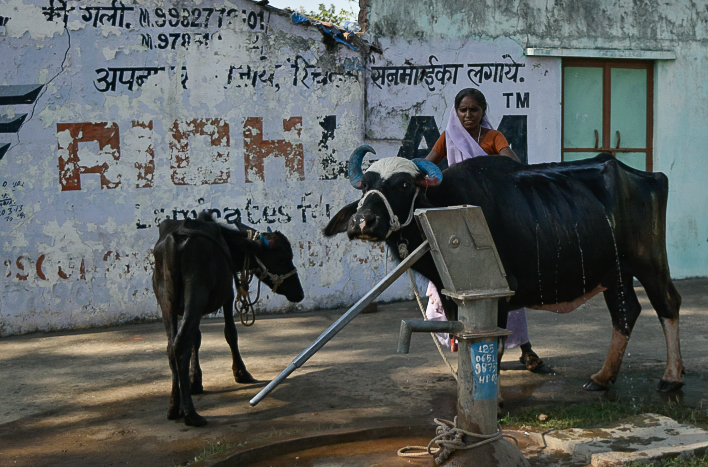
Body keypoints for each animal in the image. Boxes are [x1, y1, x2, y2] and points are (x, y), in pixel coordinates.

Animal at [152, 211, 304, 426]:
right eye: (283, 258)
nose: (299, 293)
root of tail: (175, 240)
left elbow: (196, 339)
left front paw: (195, 381)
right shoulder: (228, 295)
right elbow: (230, 333)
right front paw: (241, 373)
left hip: (167, 301)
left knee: (171, 346)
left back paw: (174, 407)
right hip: (195, 296)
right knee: (180, 344)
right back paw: (191, 414)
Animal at [324, 145, 684, 393]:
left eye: (402, 185)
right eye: (365, 185)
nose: (362, 222)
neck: (445, 206)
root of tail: (647, 176)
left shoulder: (496, 289)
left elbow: (491, 344)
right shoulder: (450, 295)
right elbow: (463, 340)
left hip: (649, 262)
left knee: (667, 303)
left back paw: (671, 377)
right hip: (615, 273)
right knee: (626, 313)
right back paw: (602, 378)